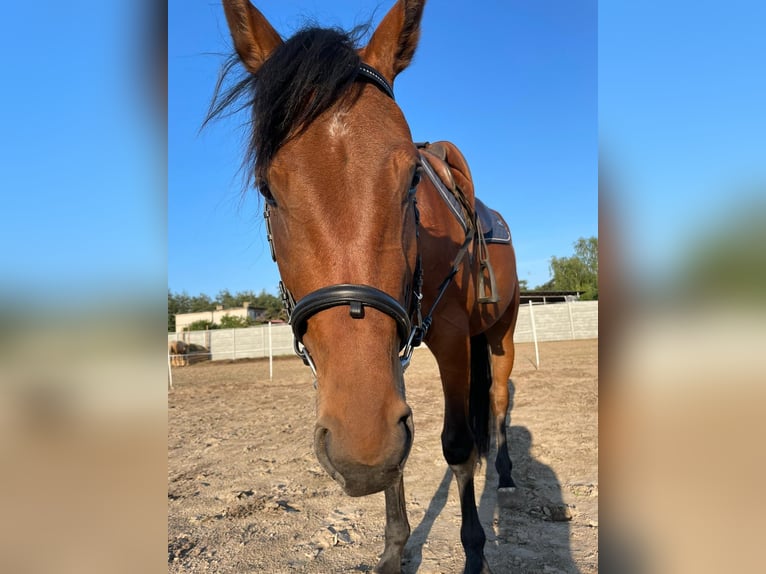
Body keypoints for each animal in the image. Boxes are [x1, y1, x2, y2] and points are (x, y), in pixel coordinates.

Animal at [208, 2, 520, 572]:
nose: (359, 449)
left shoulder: (450, 340)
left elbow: (457, 446)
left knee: (499, 399)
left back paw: (505, 474)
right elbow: (396, 452)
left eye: (412, 179)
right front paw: (395, 548)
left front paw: (473, 551)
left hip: (500, 333)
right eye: (267, 188)